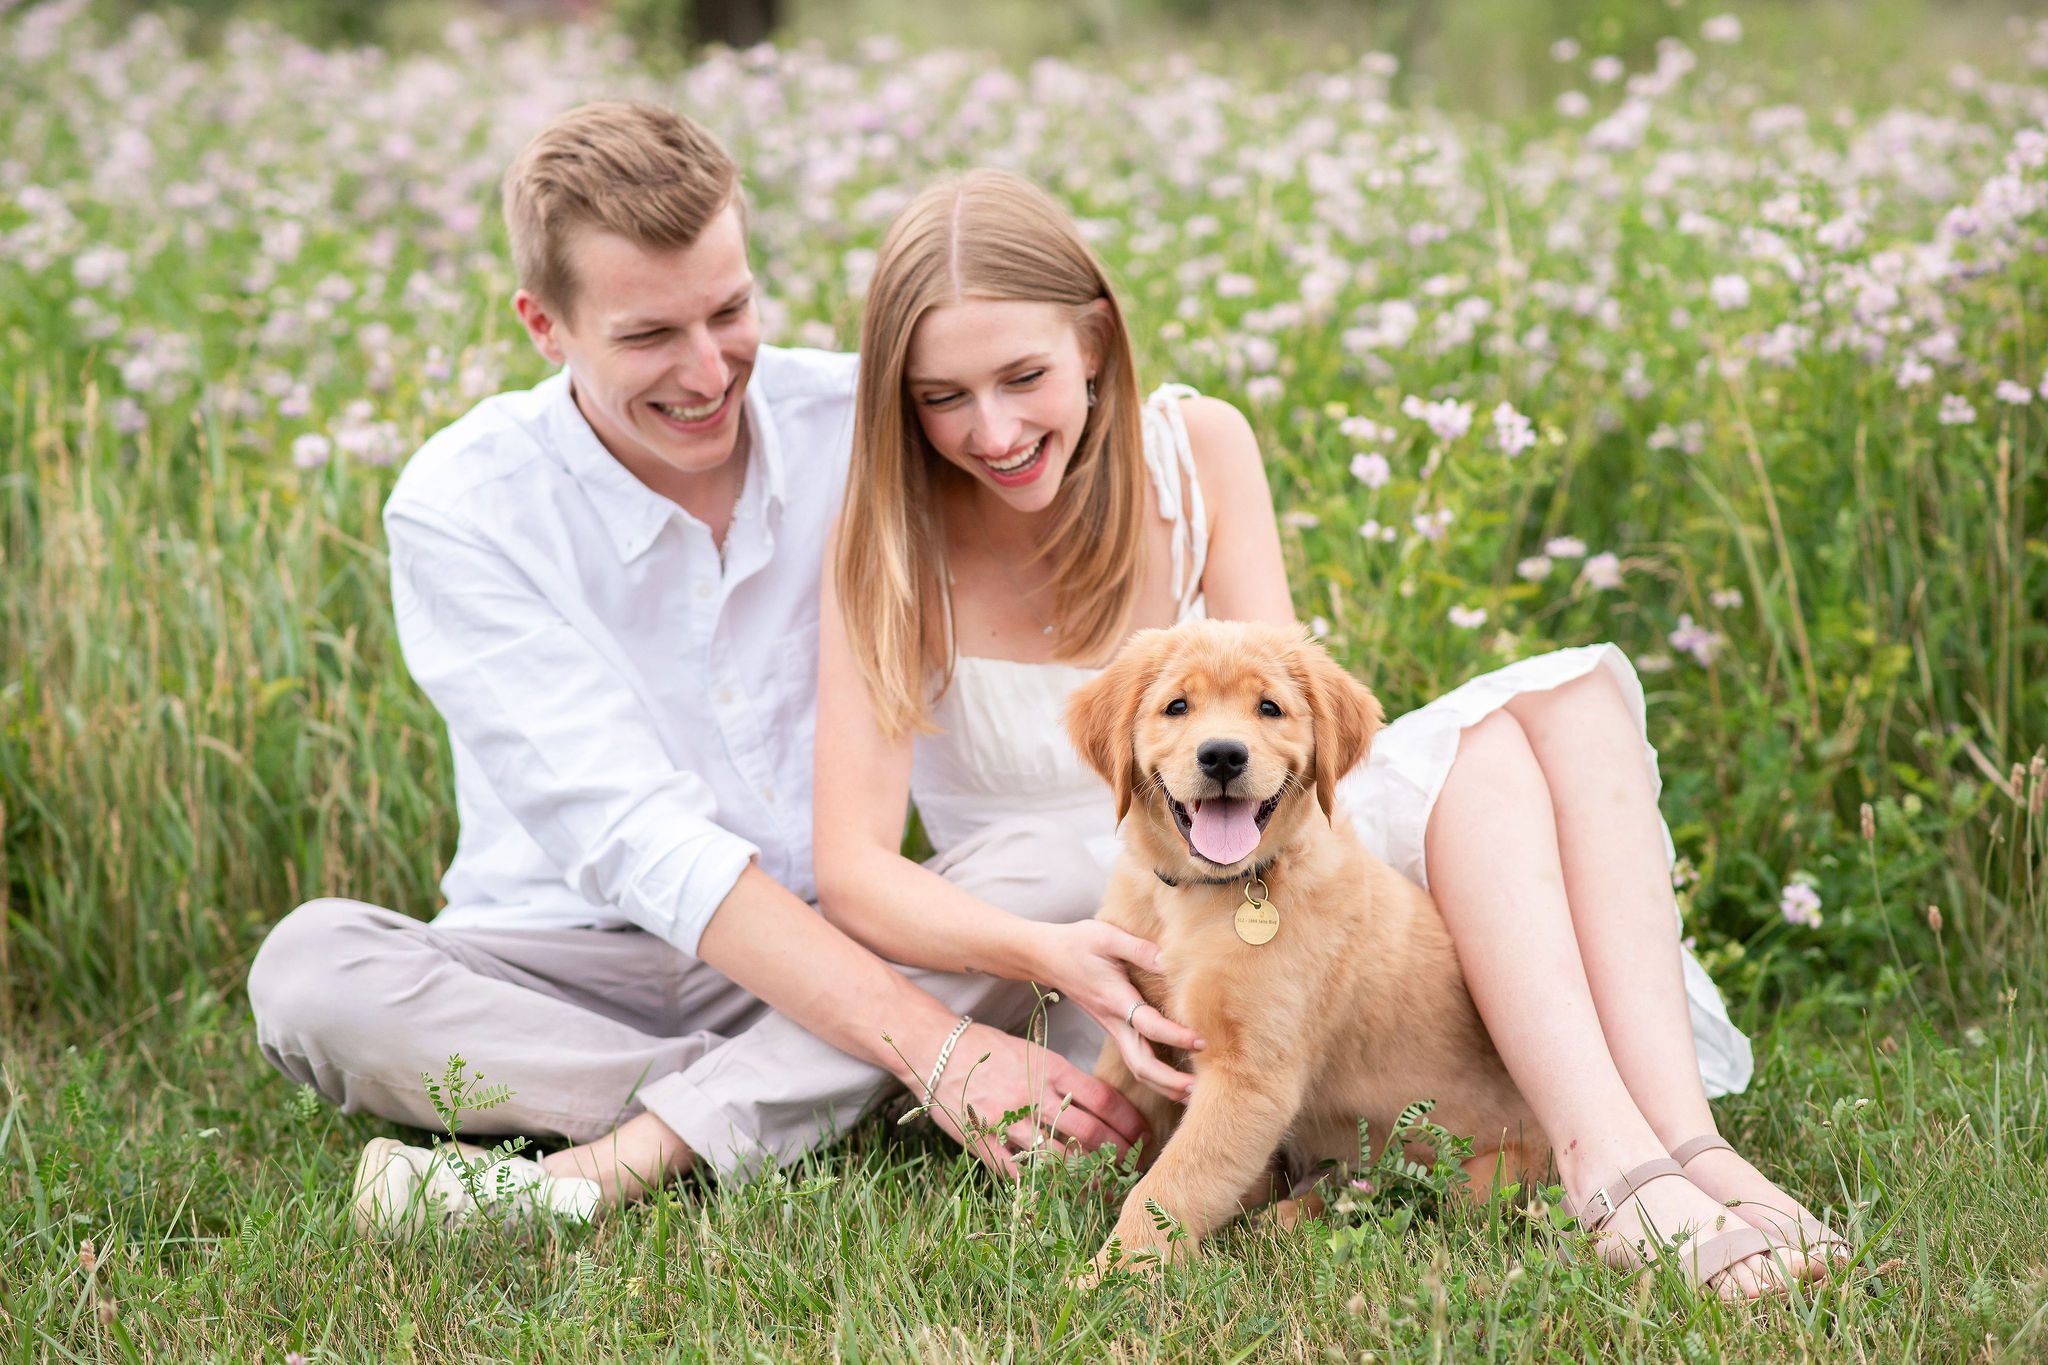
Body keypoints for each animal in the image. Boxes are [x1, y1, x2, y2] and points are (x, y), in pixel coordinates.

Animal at [1064, 618, 1540, 1268]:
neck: (1206, 894)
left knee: (1400, 1199)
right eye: (1177, 706)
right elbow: (1113, 1127)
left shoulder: (1251, 1076)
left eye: (1269, 708)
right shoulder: (1138, 1036)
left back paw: (1282, 1221)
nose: (1222, 754)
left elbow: (1170, 1183)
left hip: (1474, 1179)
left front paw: (1110, 1274)